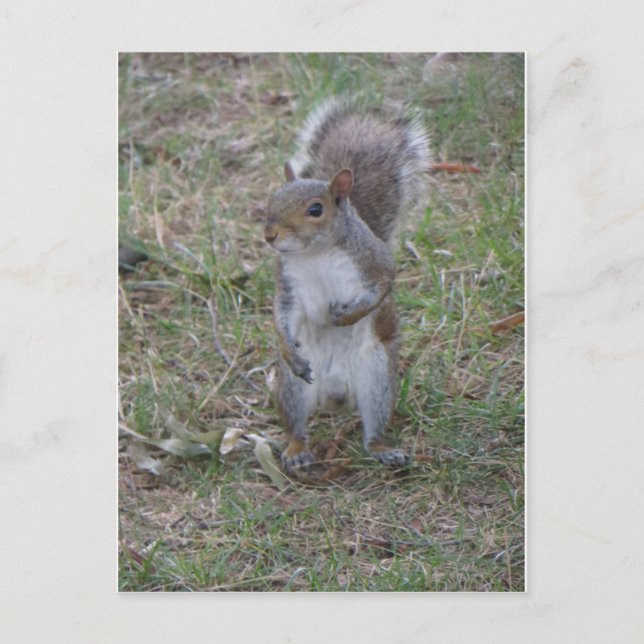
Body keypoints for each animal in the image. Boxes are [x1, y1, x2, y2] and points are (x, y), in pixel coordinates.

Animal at [264, 99, 431, 473]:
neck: (316, 253)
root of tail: (335, 398)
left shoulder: (375, 263)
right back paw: (296, 450)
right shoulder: (287, 283)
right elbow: (281, 315)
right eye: (271, 199)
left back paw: (384, 450)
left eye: (315, 209)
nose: (270, 235)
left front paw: (345, 316)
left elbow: (381, 288)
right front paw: (287, 347)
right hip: (292, 389)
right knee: (296, 424)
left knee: (374, 427)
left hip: (377, 379)